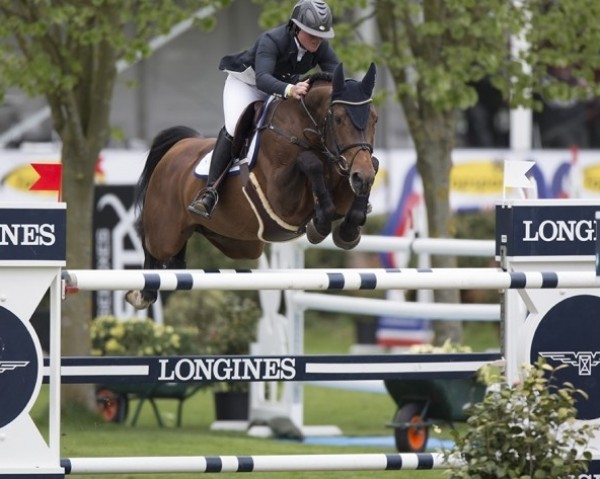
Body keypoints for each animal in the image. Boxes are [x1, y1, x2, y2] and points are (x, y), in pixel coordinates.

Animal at [126, 62, 378, 310]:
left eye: (374, 119)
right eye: (339, 119)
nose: (361, 176)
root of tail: (178, 147)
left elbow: (371, 167)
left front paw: (348, 230)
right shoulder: (282, 203)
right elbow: (309, 162)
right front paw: (320, 224)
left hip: (236, 241)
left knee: (182, 252)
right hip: (165, 232)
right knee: (151, 246)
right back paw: (143, 294)